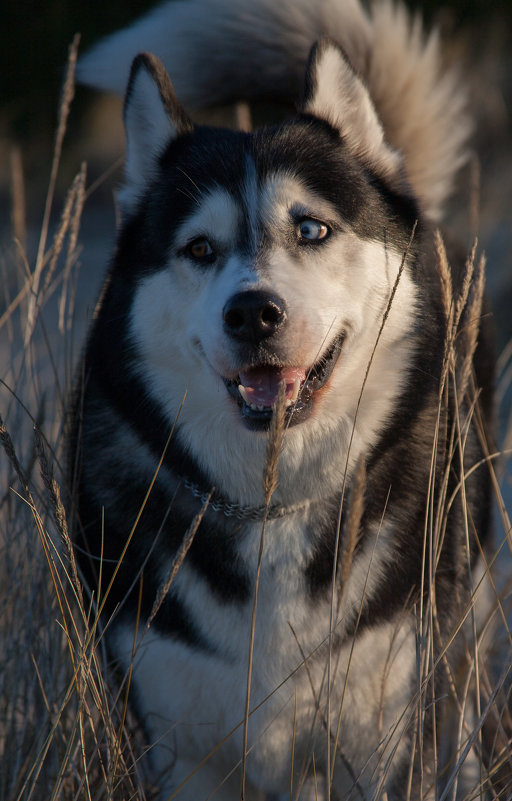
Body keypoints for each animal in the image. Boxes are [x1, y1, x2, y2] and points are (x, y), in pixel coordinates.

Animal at [70, 0, 494, 796]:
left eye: (311, 227)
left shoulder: (386, 735)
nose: (253, 312)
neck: (273, 506)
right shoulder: (182, 747)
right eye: (199, 249)